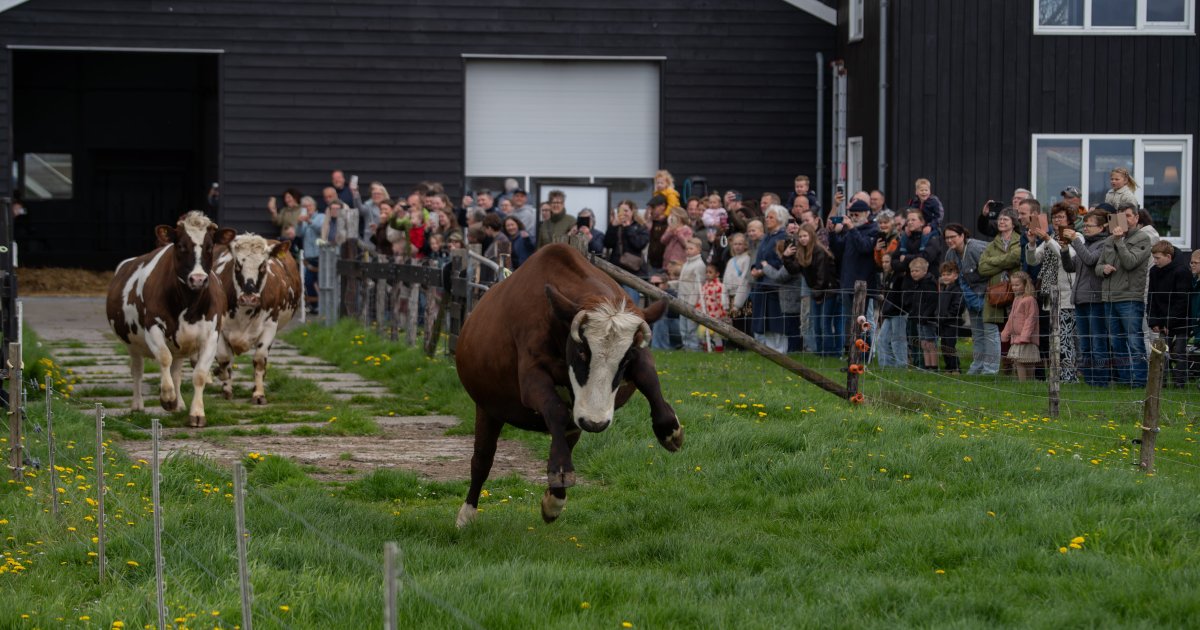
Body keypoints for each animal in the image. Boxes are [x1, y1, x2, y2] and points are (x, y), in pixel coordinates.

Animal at [106, 211, 235, 427]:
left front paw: (196, 413)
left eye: (210, 247)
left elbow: (199, 374)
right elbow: (163, 357)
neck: (188, 304)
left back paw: (180, 404)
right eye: (181, 245)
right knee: (137, 371)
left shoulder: (211, 335)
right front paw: (167, 398)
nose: (198, 279)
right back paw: (138, 405)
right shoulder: (153, 327)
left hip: (181, 346)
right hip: (133, 344)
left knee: (176, 372)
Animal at [211, 233, 302, 404]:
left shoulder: (270, 325)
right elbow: (224, 358)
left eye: (263, 266)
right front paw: (225, 385)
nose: (249, 298)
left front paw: (258, 394)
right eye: (237, 265)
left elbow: (259, 360)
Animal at [454, 243, 683, 527]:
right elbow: (555, 410)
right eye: (582, 351)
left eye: (626, 356)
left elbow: (651, 381)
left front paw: (669, 430)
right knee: (482, 459)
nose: (595, 422)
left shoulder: (639, 354)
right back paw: (468, 513)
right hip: (488, 408)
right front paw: (559, 472)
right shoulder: (530, 379)